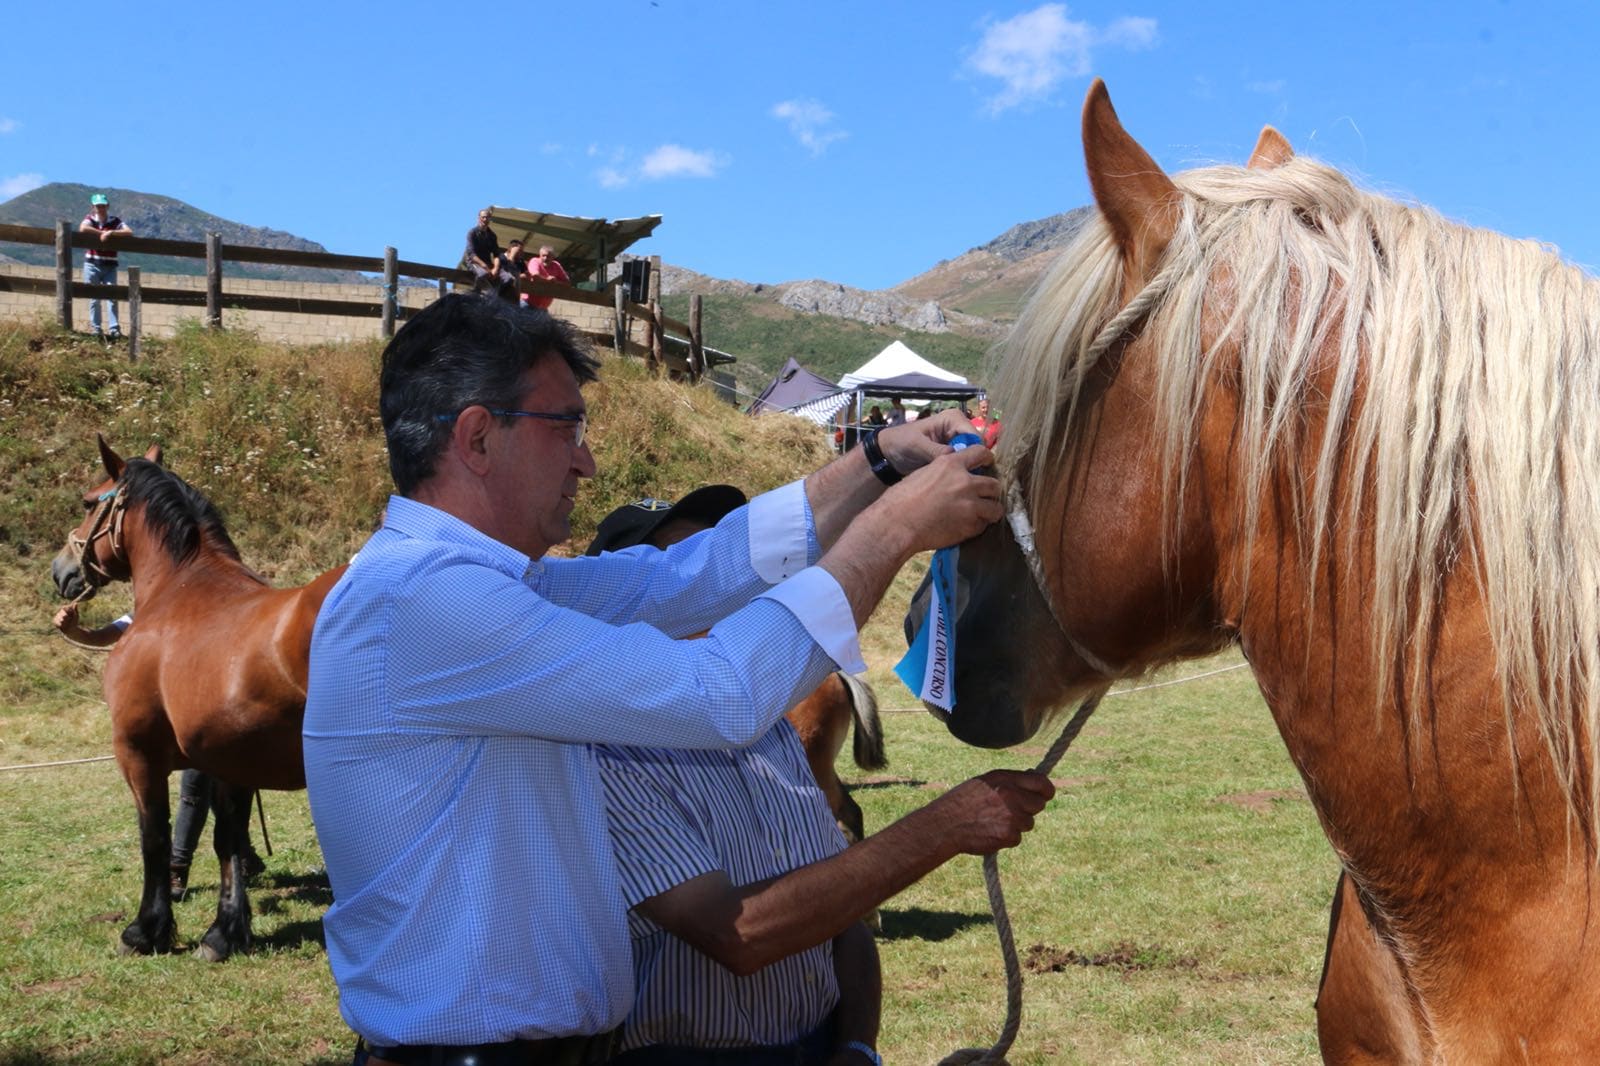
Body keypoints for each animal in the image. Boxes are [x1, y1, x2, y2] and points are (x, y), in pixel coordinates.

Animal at [53, 435, 344, 960]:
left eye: (88, 502)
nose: (61, 571)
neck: (180, 589)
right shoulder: (228, 761)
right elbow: (227, 840)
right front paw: (224, 932)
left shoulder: (137, 754)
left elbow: (153, 836)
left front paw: (145, 930)